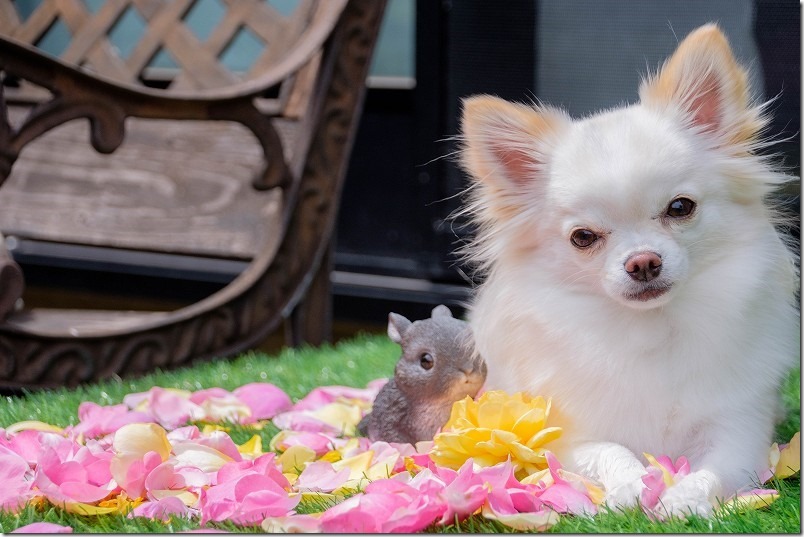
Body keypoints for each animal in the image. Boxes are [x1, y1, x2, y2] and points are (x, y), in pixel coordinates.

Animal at [458, 23, 796, 516]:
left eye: (680, 207)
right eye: (583, 237)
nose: (643, 261)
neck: (650, 329)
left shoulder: (741, 432)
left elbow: (716, 470)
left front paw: (685, 497)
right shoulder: (561, 438)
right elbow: (608, 450)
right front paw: (634, 484)